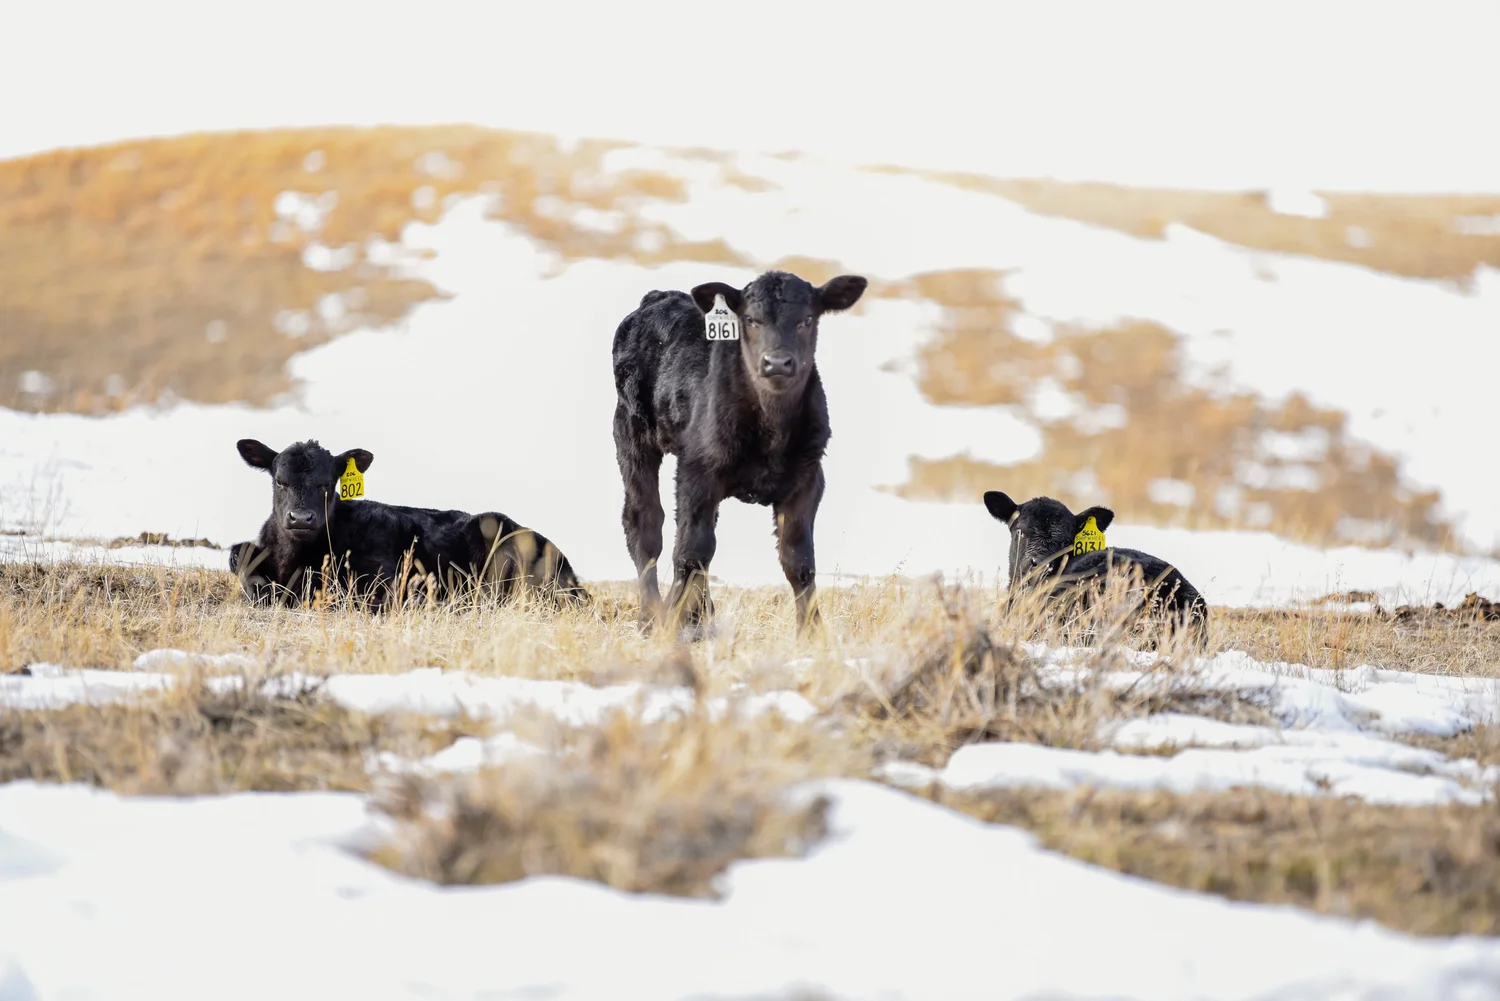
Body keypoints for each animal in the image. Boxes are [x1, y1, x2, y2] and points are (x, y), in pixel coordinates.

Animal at [228, 438, 586, 609]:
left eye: (327, 483)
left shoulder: (381, 578)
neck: (293, 560)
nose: (301, 518)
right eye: (279, 481)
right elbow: (239, 557)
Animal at [612, 269, 868, 635]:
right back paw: (651, 618)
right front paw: (677, 623)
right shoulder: (697, 471)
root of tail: (659, 296)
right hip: (631, 431)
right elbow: (692, 551)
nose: (777, 363)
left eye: (807, 319)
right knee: (645, 523)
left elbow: (798, 559)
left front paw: (811, 633)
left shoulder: (808, 478)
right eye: (750, 319)